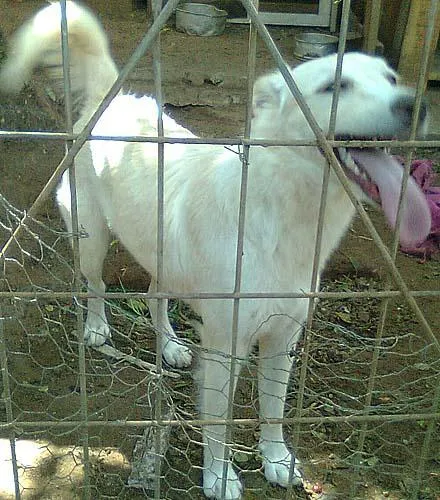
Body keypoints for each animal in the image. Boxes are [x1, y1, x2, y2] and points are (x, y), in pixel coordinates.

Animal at [0, 1, 432, 498]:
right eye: (334, 86)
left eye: (392, 79)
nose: (416, 104)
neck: (281, 212)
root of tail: (115, 97)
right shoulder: (226, 348)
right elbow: (220, 423)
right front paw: (219, 476)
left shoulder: (282, 340)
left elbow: (273, 411)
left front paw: (276, 459)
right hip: (90, 236)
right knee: (96, 285)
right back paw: (96, 328)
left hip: (164, 254)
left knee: (153, 297)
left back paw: (170, 347)